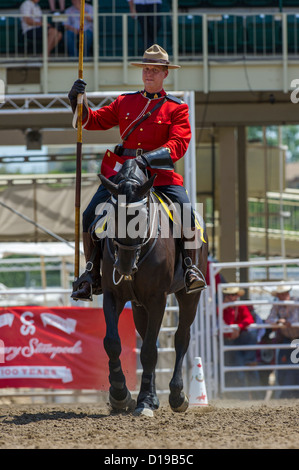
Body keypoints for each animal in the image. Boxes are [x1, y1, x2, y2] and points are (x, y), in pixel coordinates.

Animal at [97, 160, 207, 416]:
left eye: (142, 218)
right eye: (111, 216)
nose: (124, 265)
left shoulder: (158, 299)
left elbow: (148, 351)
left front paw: (145, 401)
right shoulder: (112, 296)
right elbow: (112, 342)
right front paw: (120, 394)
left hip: (189, 297)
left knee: (181, 338)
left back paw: (177, 396)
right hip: (139, 306)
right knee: (149, 335)